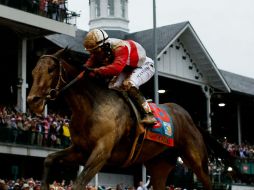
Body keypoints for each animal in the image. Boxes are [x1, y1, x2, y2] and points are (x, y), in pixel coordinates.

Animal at [26, 48, 213, 190]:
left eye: (50, 70)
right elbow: (49, 159)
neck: (92, 106)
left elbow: (78, 184)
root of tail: (190, 118)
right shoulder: (80, 150)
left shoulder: (101, 152)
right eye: (33, 71)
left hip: (197, 160)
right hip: (159, 164)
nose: (32, 101)